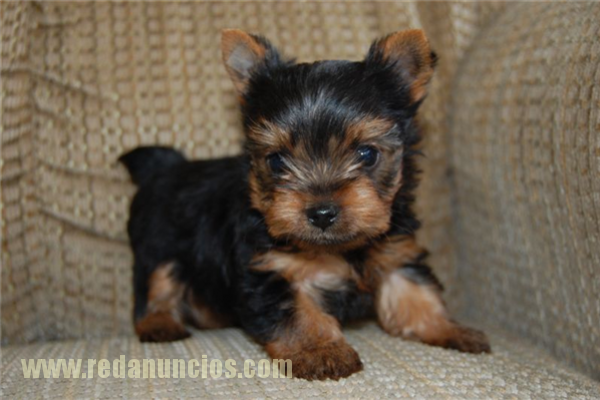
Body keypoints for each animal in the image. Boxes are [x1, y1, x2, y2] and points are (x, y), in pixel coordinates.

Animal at [119, 29, 491, 381]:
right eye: (277, 161)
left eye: (367, 154)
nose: (322, 212)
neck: (337, 249)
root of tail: (165, 168)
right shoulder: (270, 268)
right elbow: (299, 313)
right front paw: (320, 351)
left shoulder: (395, 252)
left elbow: (415, 294)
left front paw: (449, 328)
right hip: (158, 247)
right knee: (154, 286)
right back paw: (159, 323)